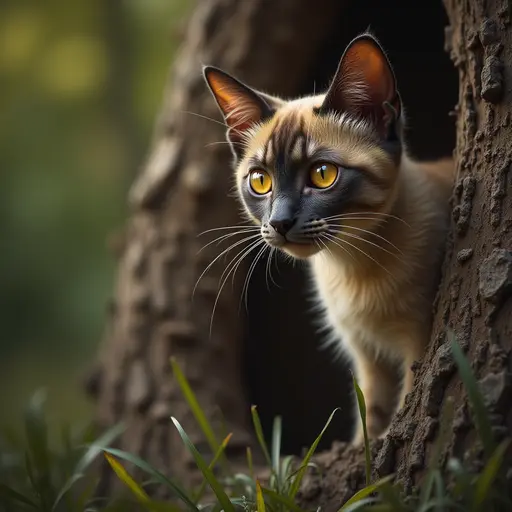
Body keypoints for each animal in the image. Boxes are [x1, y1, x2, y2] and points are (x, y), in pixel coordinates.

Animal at [202, 34, 454, 442]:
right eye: (260, 181)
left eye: (323, 175)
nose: (280, 222)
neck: (351, 266)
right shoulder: (367, 356)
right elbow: (371, 417)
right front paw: (365, 449)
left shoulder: (418, 343)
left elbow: (403, 407)